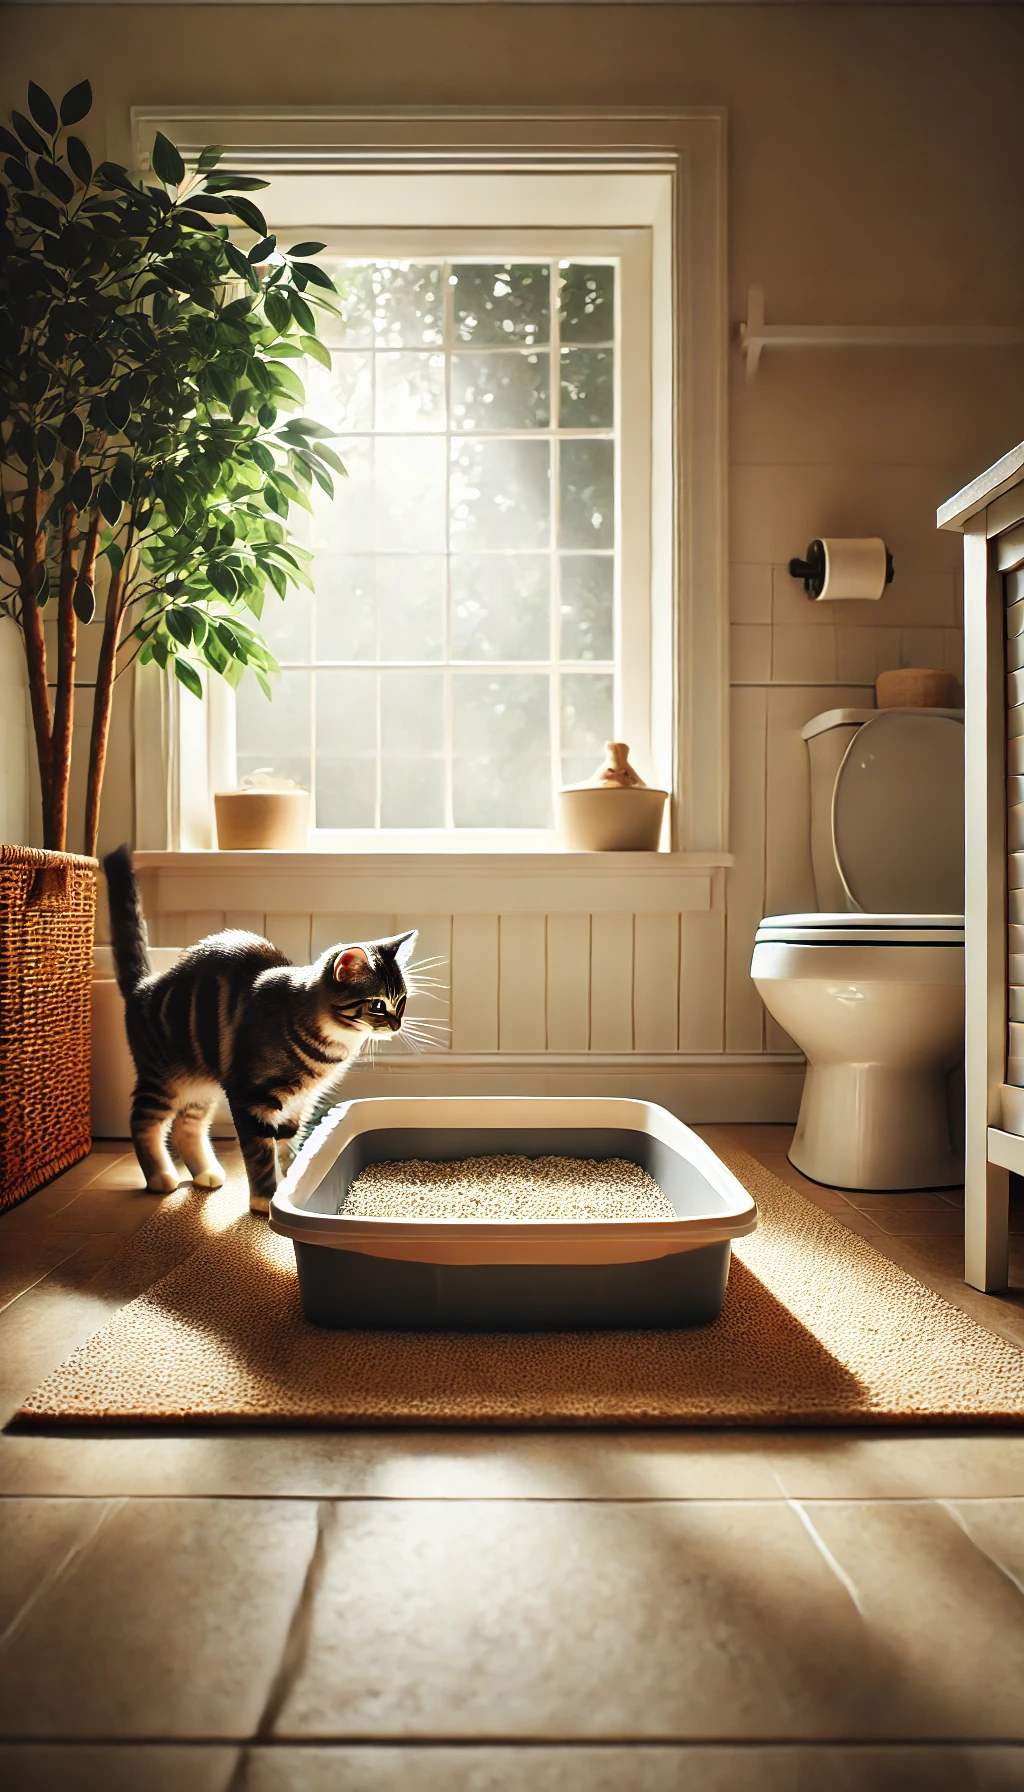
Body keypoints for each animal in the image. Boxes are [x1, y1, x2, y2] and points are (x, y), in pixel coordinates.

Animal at [105, 845, 416, 1211]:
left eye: (402, 1000)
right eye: (378, 1005)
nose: (397, 1023)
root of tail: (145, 985)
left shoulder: (300, 1102)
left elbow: (285, 1144)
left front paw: (293, 1181)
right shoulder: (250, 1096)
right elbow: (260, 1154)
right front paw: (265, 1198)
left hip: (203, 1084)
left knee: (187, 1125)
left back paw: (206, 1173)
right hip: (163, 1078)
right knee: (143, 1121)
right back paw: (159, 1177)